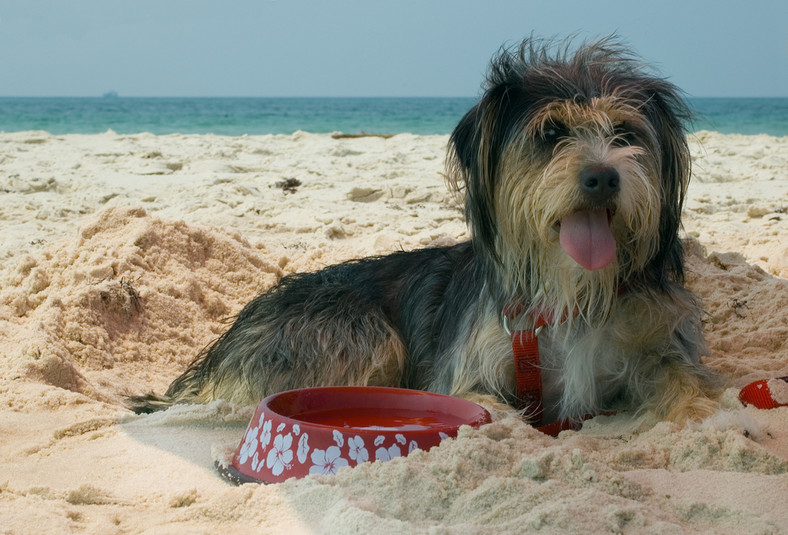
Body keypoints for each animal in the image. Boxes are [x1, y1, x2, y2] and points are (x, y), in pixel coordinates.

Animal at [127, 36, 720, 428]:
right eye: (551, 133)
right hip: (357, 331)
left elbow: (684, 381)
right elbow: (488, 407)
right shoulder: (471, 370)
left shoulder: (659, 341)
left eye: (626, 133)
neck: (570, 289)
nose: (603, 176)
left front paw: (705, 418)